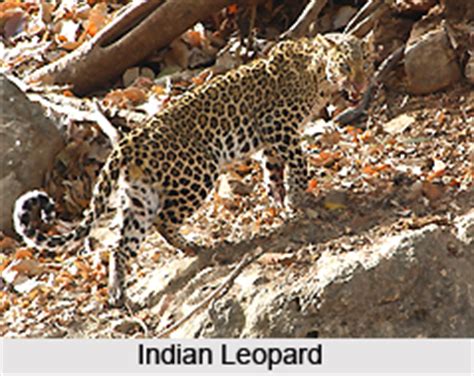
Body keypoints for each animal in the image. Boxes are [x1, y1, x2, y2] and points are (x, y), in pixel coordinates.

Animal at [13, 32, 370, 306]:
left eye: (364, 63)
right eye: (344, 66)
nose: (359, 84)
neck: (317, 74)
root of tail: (127, 143)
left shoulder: (272, 140)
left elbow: (273, 173)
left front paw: (282, 203)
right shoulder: (278, 126)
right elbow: (297, 163)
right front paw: (301, 200)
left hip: (139, 196)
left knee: (122, 244)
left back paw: (120, 293)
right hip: (198, 172)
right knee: (162, 220)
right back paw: (194, 247)